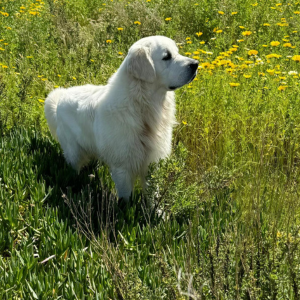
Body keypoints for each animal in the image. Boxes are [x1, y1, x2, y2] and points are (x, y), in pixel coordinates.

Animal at [44, 35, 198, 199]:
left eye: (177, 52)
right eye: (166, 57)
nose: (196, 64)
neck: (143, 107)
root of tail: (60, 96)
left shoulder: (151, 162)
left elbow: (153, 195)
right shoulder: (123, 167)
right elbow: (126, 198)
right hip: (74, 153)